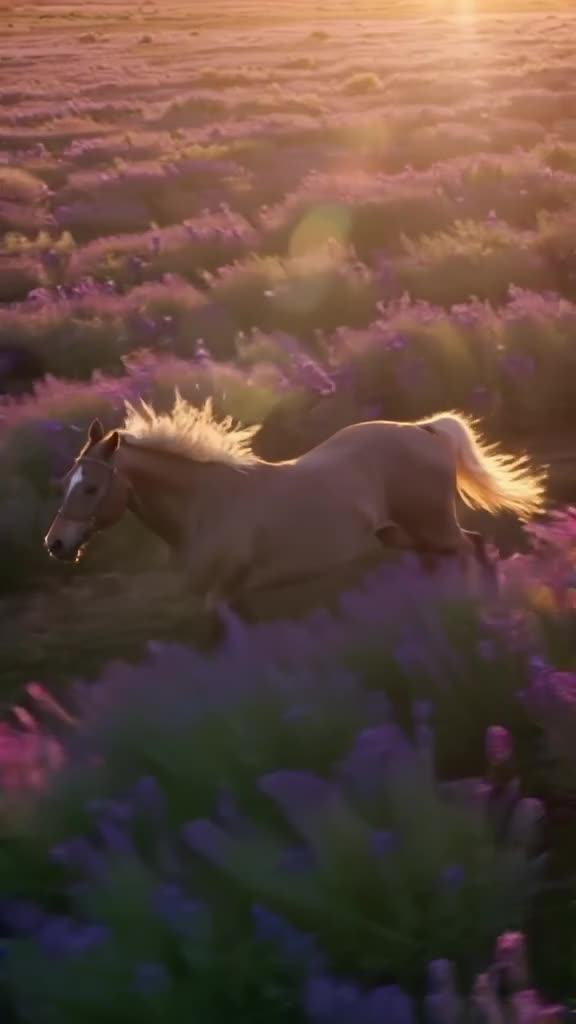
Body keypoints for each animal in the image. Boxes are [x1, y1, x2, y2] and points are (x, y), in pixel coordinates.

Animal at [44, 394, 546, 610]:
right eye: (66, 481)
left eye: (90, 488)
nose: (56, 544)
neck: (203, 504)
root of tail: (423, 429)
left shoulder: (221, 593)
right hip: (405, 535)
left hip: (434, 527)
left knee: (475, 546)